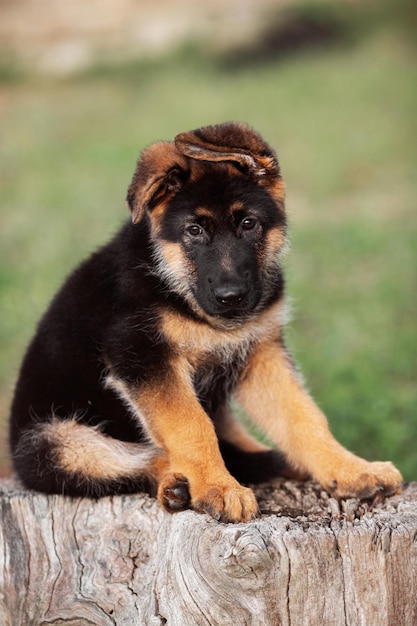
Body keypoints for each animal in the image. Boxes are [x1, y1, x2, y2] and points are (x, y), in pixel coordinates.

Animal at [8, 123, 400, 520]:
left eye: (248, 223)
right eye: (194, 231)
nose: (232, 297)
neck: (179, 286)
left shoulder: (260, 353)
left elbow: (303, 416)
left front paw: (350, 469)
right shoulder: (140, 353)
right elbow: (190, 425)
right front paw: (218, 487)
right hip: (52, 444)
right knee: (137, 460)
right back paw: (177, 484)